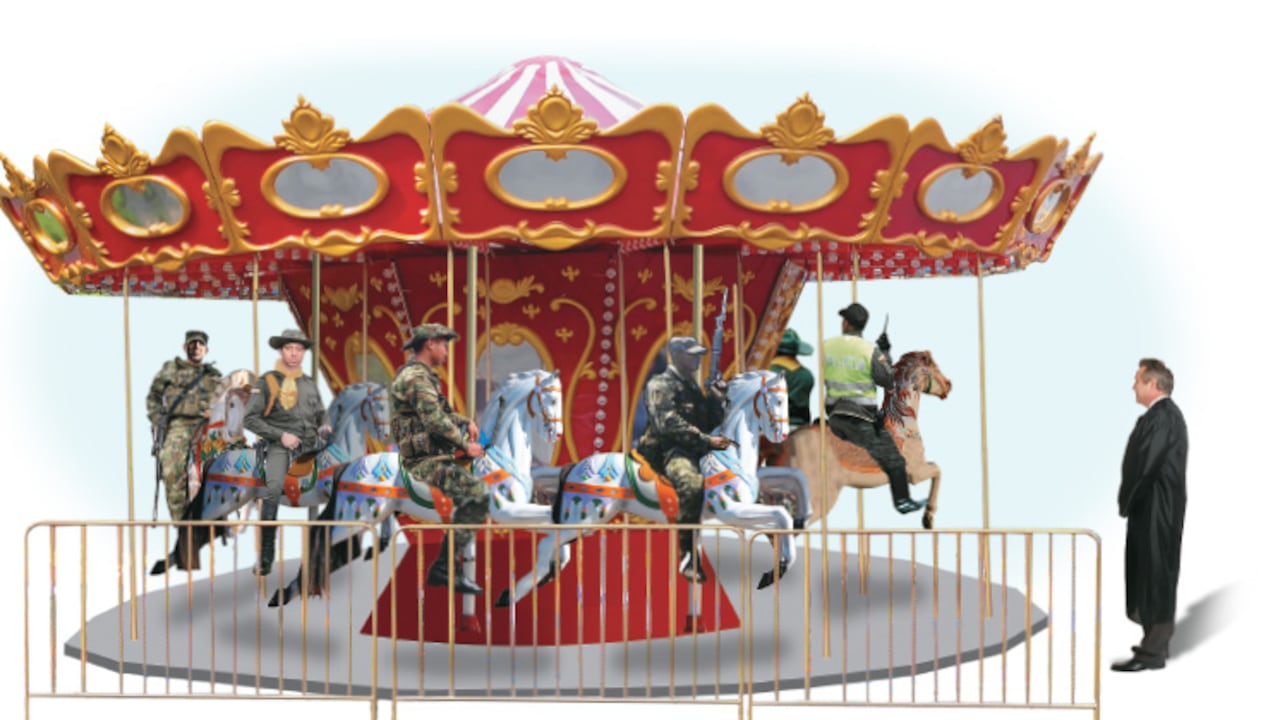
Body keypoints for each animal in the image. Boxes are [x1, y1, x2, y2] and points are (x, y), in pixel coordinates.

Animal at [149, 381, 392, 574]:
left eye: (388, 405)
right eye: (378, 406)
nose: (387, 435)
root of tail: (216, 459)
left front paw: (376, 544)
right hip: (220, 501)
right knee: (194, 520)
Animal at [271, 369, 564, 619]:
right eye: (551, 399)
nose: (557, 433)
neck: (501, 456)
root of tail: (350, 466)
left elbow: (555, 531)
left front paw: (532, 581)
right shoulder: (506, 511)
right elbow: (554, 526)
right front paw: (514, 591)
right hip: (356, 517)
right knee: (319, 537)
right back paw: (286, 592)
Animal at [496, 369, 805, 609]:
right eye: (778, 400)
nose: (781, 435)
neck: (732, 454)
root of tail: (574, 467)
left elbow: (787, 494)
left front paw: (796, 529)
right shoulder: (731, 510)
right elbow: (780, 515)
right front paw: (775, 569)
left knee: (552, 545)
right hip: (585, 516)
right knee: (548, 543)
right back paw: (510, 595)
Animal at [761, 350, 951, 529]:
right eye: (935, 368)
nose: (949, 385)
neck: (902, 425)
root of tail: (782, 445)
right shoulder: (914, 472)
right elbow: (937, 470)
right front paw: (928, 517)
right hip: (818, 496)